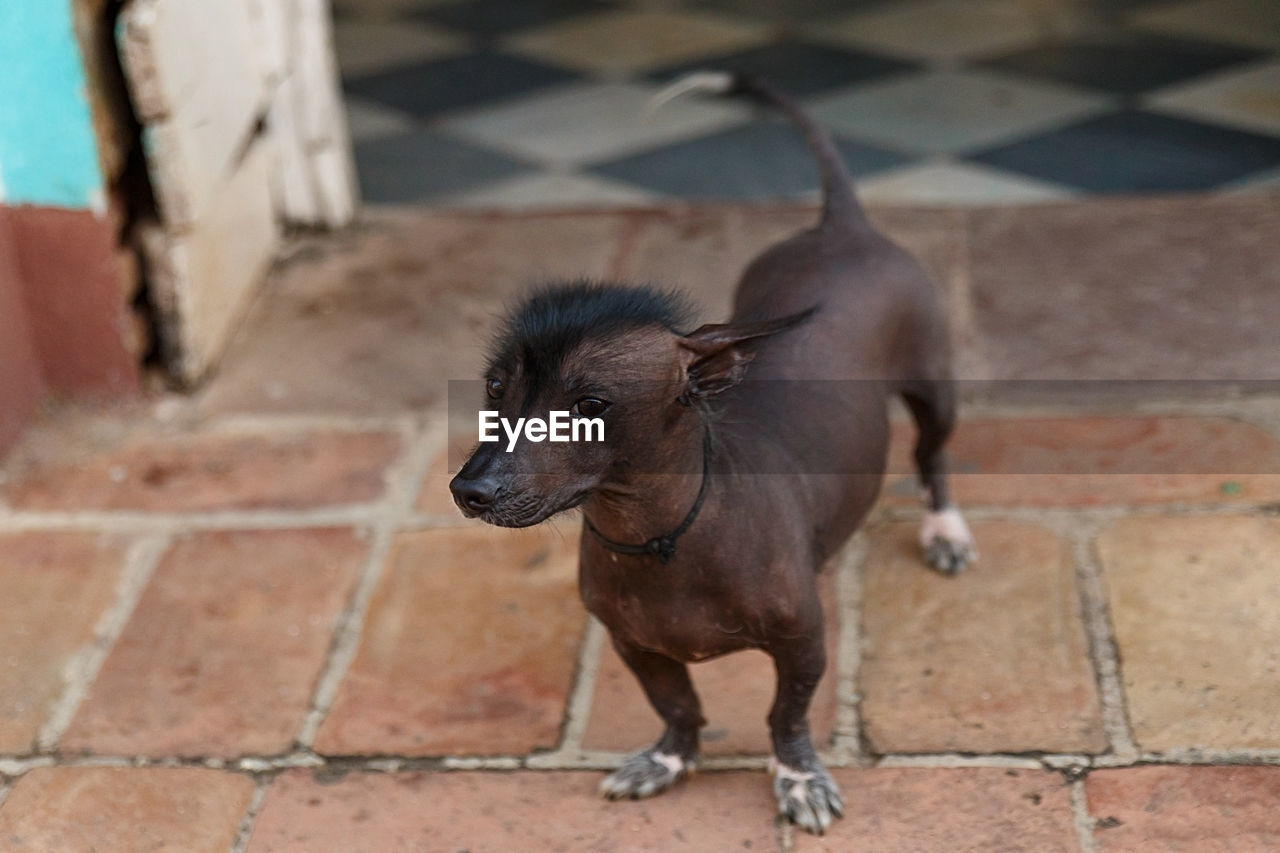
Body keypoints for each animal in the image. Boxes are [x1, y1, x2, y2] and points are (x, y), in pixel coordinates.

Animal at [445, 71, 972, 829]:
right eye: (495, 386)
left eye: (591, 404)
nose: (470, 490)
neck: (660, 536)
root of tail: (839, 225)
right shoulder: (633, 645)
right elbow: (678, 704)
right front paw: (668, 760)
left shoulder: (803, 640)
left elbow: (786, 715)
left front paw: (798, 778)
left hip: (934, 391)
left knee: (933, 457)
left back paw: (946, 530)